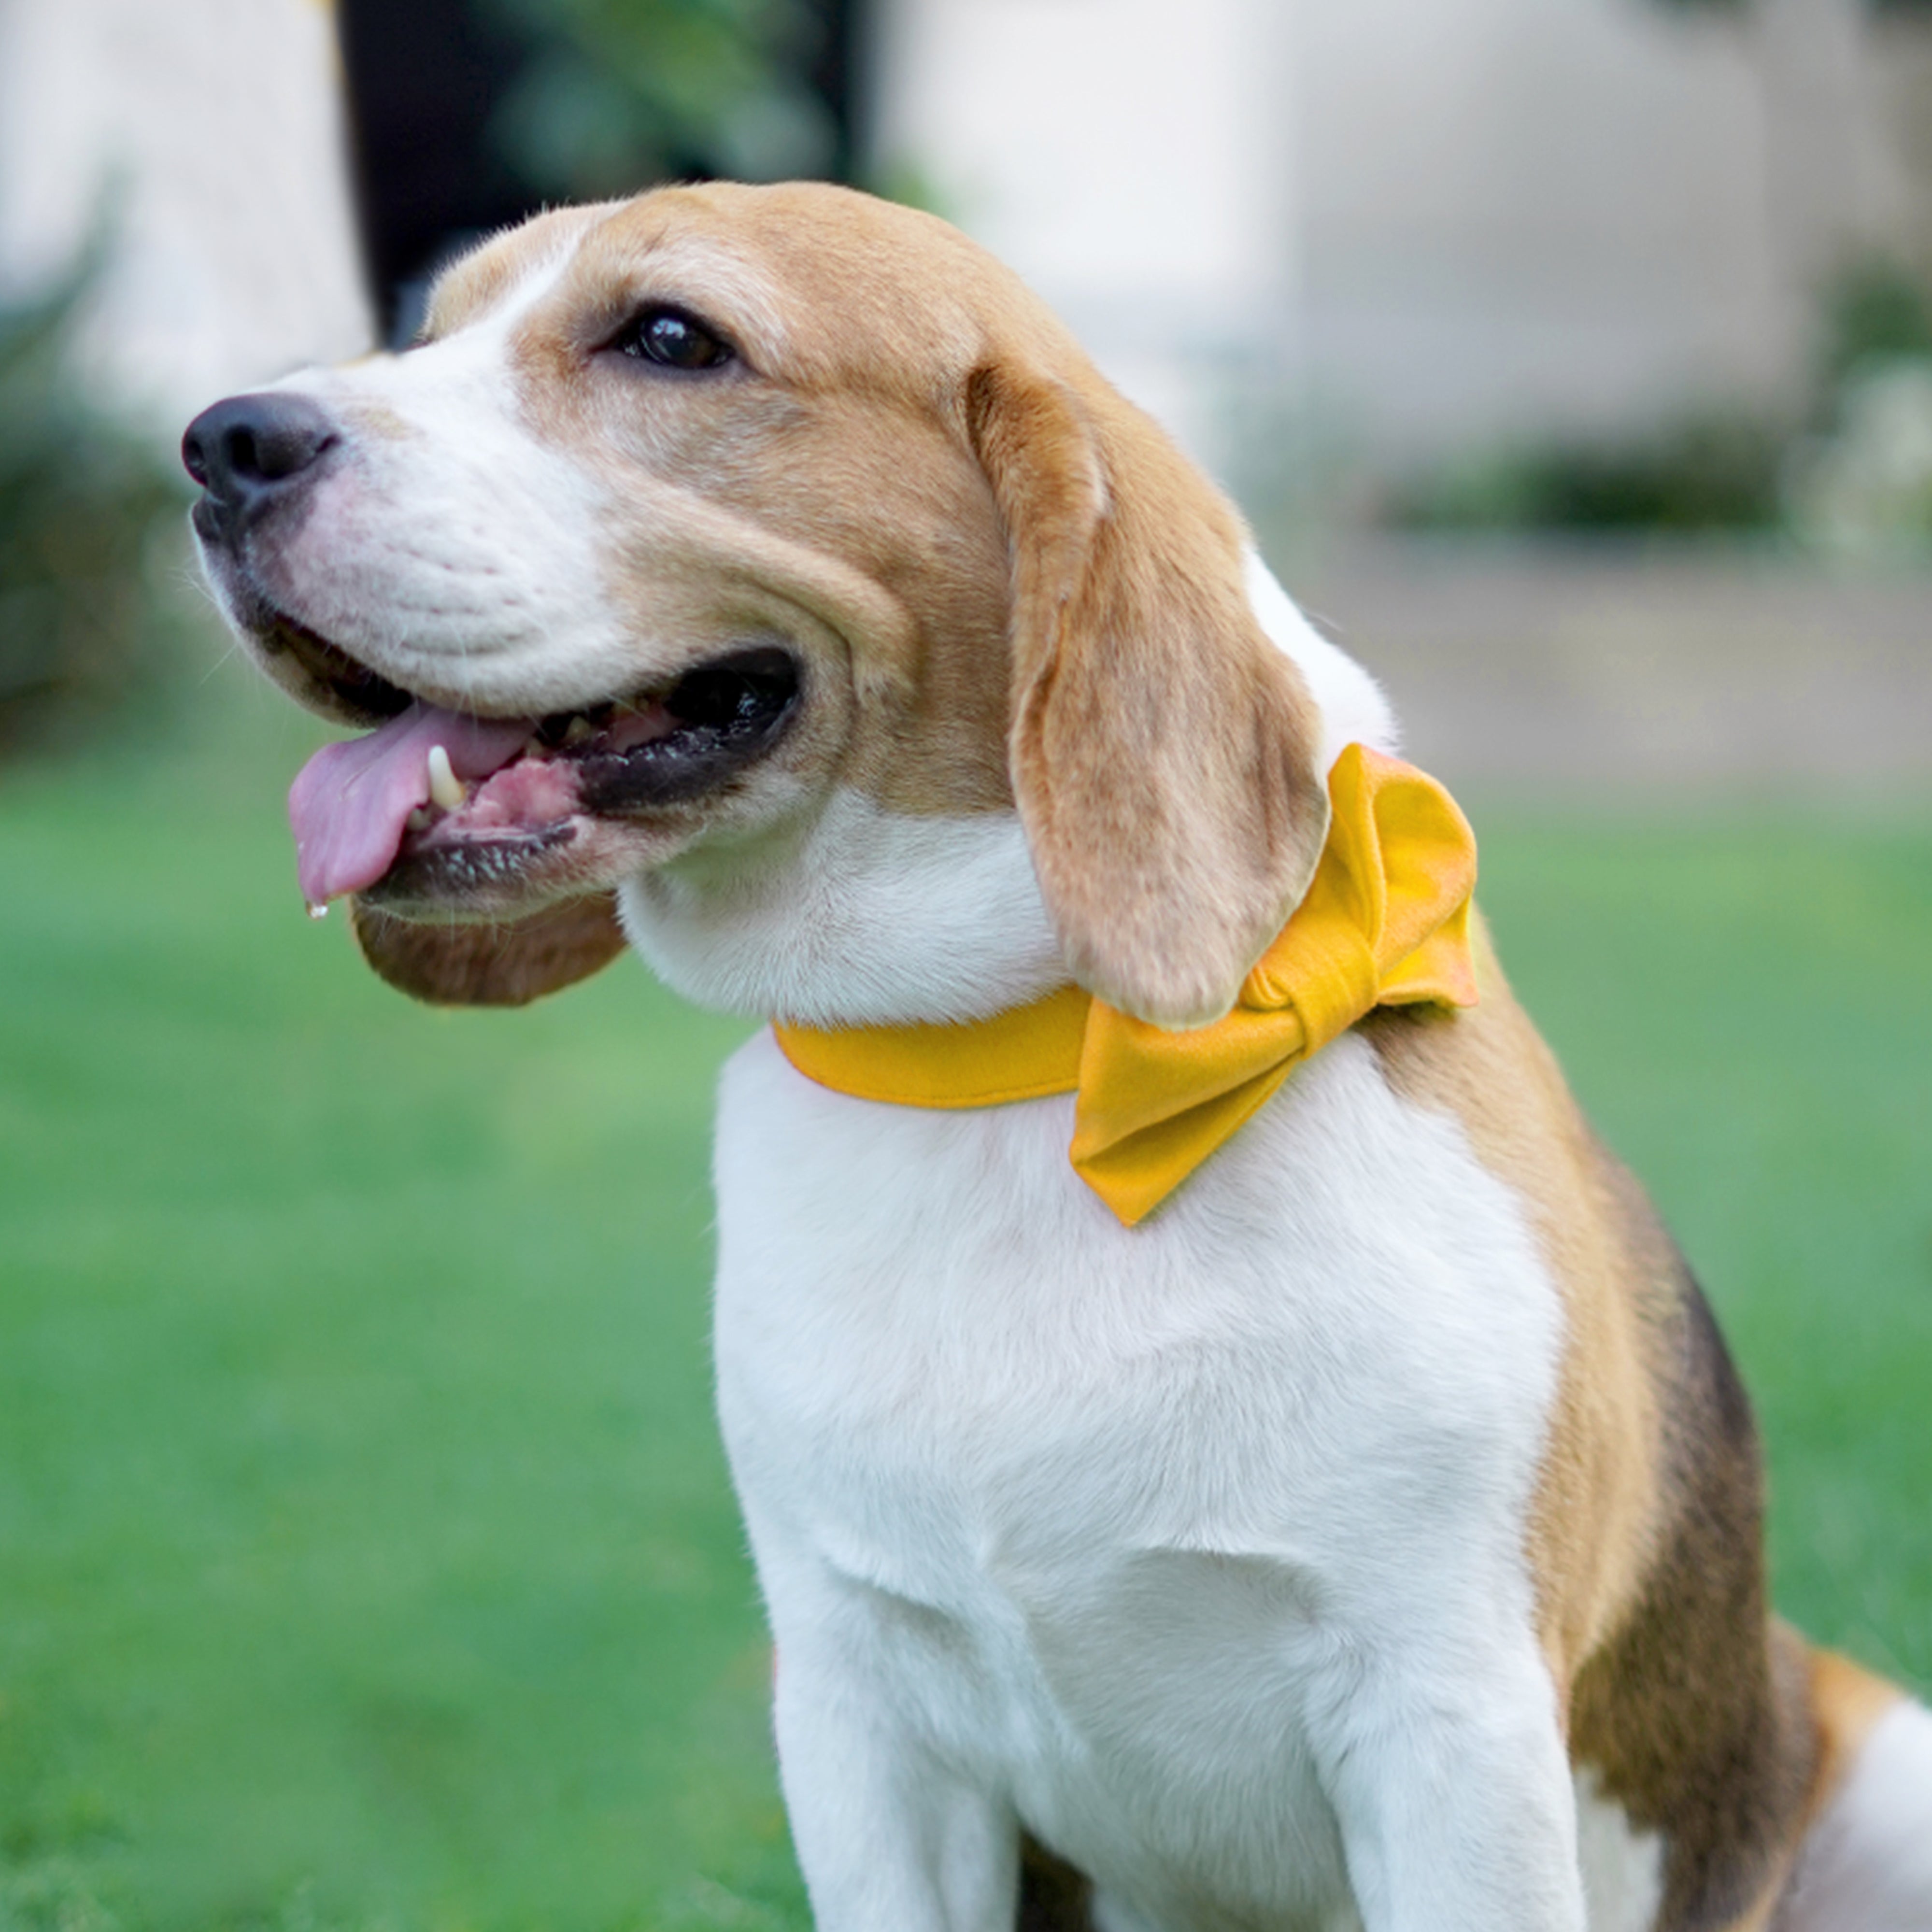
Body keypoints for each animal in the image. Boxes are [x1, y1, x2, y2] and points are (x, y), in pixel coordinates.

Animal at [185, 185, 1932, 1932]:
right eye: (428, 323)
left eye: (672, 338)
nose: (218, 443)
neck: (1012, 1072)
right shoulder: (862, 1719)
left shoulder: (1450, 1728)